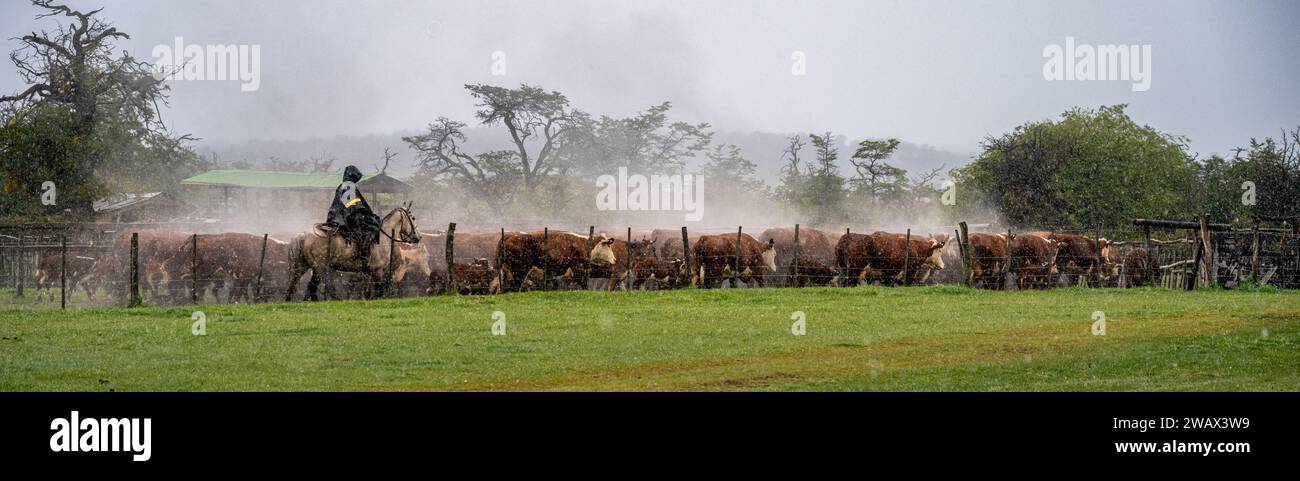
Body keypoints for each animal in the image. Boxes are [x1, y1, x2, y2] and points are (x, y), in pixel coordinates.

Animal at [284, 201, 421, 300]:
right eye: (413, 218)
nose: (418, 237)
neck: (382, 237)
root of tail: (303, 235)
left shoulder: (368, 272)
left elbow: (369, 291)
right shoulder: (378, 270)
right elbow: (379, 290)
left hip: (303, 266)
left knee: (297, 286)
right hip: (319, 268)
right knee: (315, 287)